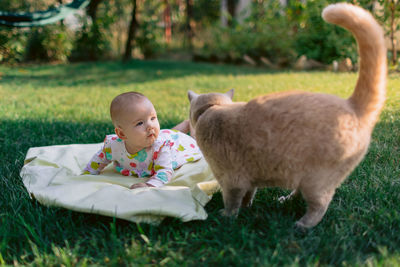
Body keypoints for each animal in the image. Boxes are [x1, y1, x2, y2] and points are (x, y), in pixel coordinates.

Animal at [188, 3, 388, 229]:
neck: (212, 109)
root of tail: (352, 105)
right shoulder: (248, 180)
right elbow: (249, 194)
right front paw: (247, 208)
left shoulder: (232, 181)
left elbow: (232, 202)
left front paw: (226, 216)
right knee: (300, 195)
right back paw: (284, 200)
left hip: (316, 181)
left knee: (320, 205)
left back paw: (302, 225)